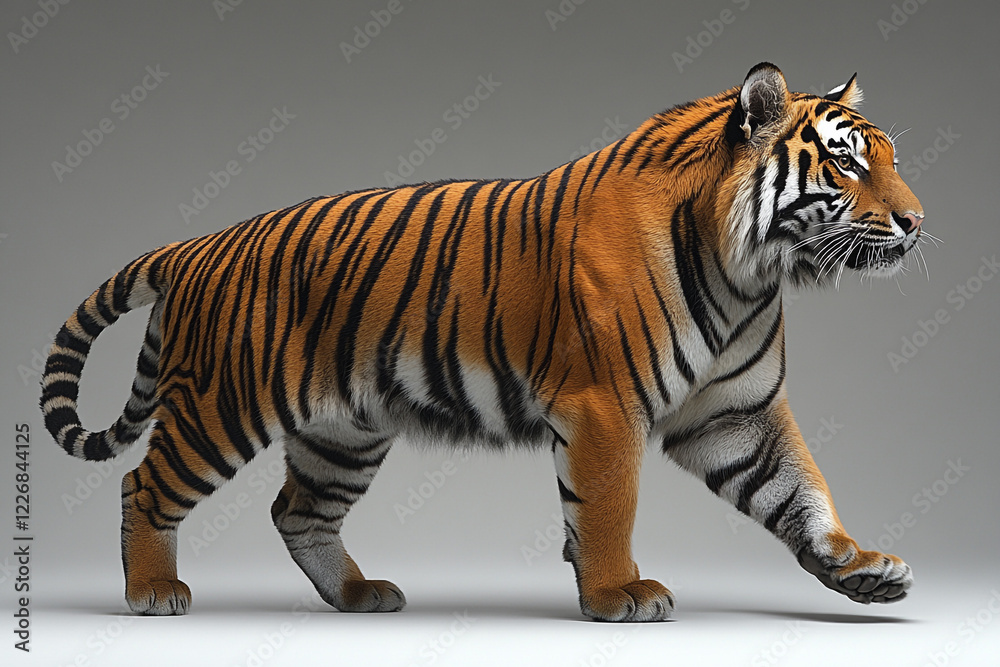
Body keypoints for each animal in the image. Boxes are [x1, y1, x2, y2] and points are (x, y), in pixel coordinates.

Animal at [41, 62, 924, 621]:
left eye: (890, 158)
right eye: (845, 165)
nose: (918, 221)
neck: (749, 271)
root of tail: (198, 245)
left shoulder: (736, 413)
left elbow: (800, 488)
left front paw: (858, 568)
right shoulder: (605, 406)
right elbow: (609, 505)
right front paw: (618, 593)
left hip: (341, 431)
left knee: (298, 511)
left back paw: (358, 595)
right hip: (222, 406)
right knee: (143, 485)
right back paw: (153, 592)